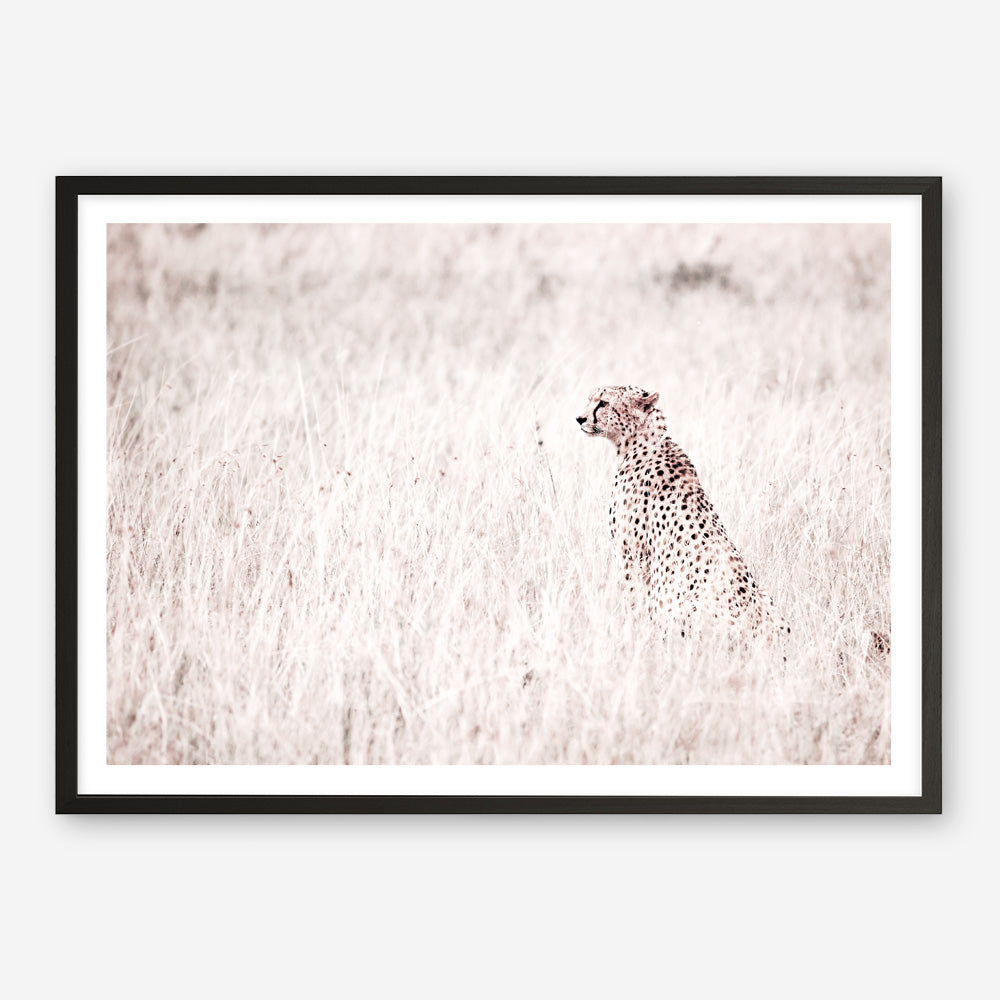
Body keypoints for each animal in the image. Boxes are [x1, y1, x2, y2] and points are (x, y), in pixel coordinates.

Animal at [577, 385, 790, 641]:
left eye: (603, 403)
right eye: (591, 399)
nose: (579, 418)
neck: (640, 442)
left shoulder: (631, 552)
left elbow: (631, 595)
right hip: (764, 595)